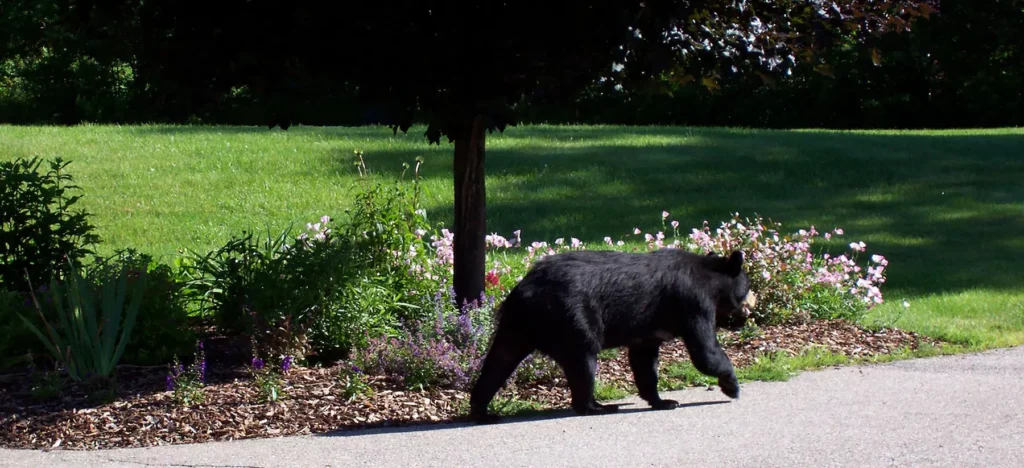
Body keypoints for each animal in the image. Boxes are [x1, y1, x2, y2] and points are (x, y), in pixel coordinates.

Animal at [468, 248, 756, 423]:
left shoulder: (647, 331)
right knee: (582, 360)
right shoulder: (693, 303)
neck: (712, 280)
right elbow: (704, 351)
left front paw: (663, 401)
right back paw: (598, 406)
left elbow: (644, 361)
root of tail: (524, 290)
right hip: (571, 319)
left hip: (516, 326)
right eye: (746, 287)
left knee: (500, 360)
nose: (747, 311)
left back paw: (482, 411)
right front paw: (732, 386)